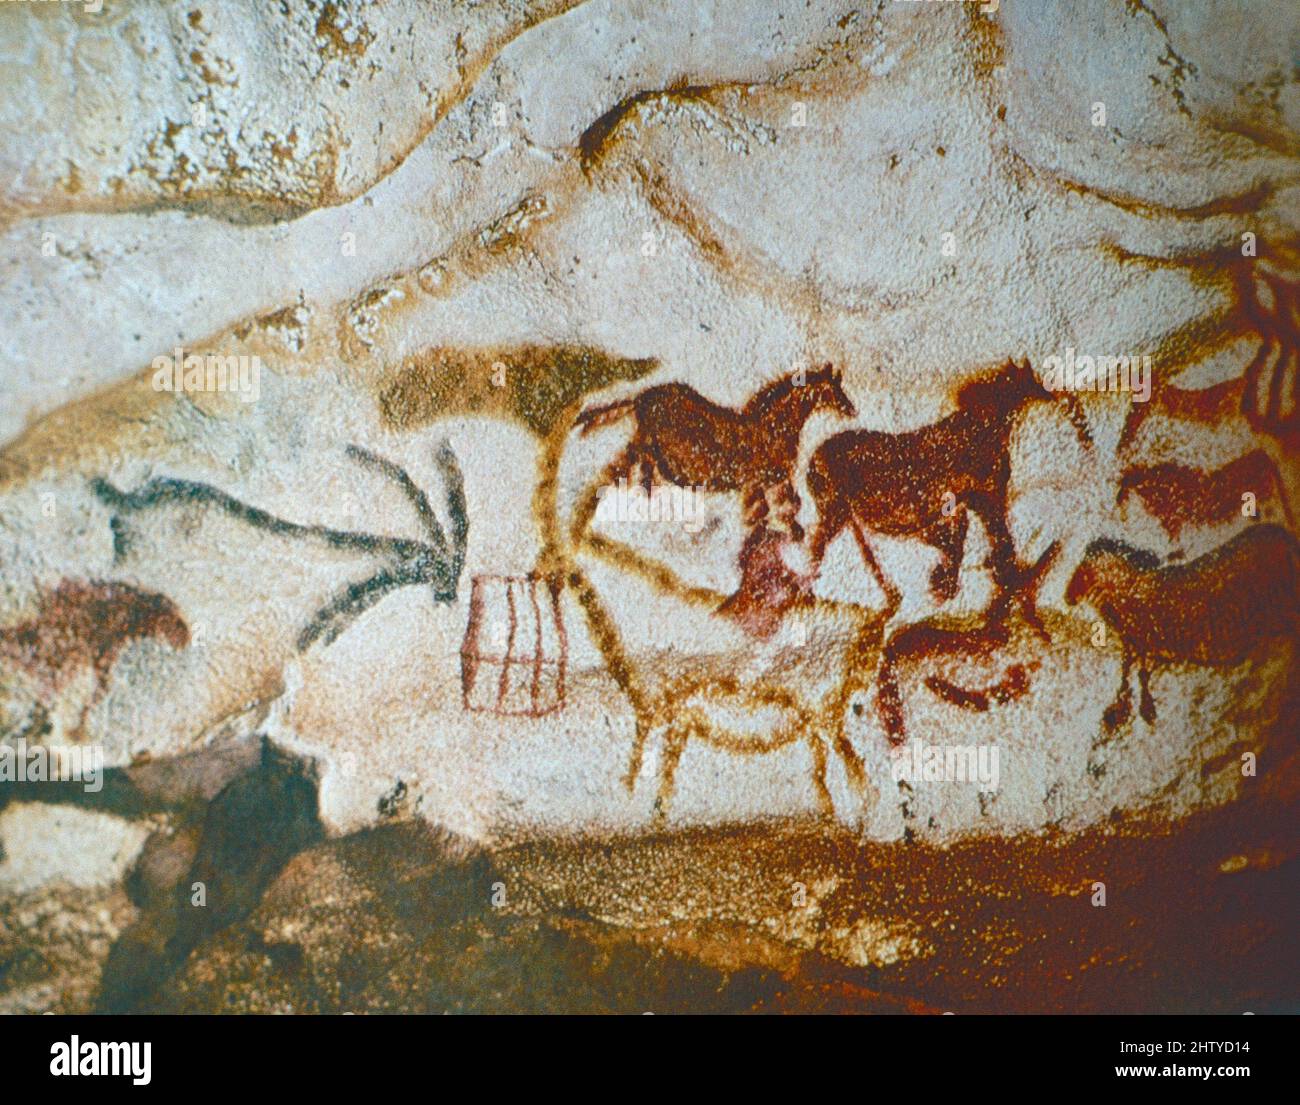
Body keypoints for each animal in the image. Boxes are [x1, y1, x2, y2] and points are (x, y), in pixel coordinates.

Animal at [577, 364, 857, 533]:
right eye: (832, 391)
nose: (852, 410)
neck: (775, 430)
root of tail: (643, 396)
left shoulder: (769, 480)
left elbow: (782, 504)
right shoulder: (765, 479)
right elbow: (773, 509)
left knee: (635, 463)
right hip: (648, 439)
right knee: (634, 461)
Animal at [811, 356, 1086, 608]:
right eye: (1033, 379)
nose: (1057, 396)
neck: (984, 428)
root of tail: (814, 458)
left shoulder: (967, 503)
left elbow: (966, 540)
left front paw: (948, 585)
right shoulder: (986, 497)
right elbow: (992, 539)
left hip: (844, 514)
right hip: (836, 512)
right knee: (819, 547)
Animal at [1066, 522, 1300, 722]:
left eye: (1083, 572)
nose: (1068, 598)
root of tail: (1279, 534)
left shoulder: (1147, 647)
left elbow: (1137, 675)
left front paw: (1142, 710)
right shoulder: (1141, 648)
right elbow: (1132, 674)